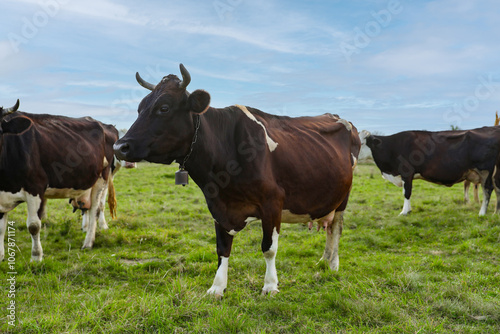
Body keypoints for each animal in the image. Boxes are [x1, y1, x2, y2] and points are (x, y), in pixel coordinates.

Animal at [0, 100, 118, 262]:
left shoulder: (35, 187)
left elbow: (34, 225)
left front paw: (36, 257)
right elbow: (1, 228)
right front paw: (0, 256)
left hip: (102, 177)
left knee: (95, 209)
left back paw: (88, 243)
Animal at [115, 64, 362, 296]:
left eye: (164, 108)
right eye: (139, 108)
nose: (119, 146)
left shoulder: (273, 202)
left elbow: (269, 248)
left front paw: (270, 285)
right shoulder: (218, 206)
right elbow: (222, 248)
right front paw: (217, 287)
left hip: (343, 197)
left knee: (336, 229)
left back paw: (333, 265)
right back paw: (323, 261)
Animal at [358, 128, 500, 217]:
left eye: (361, 143)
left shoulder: (406, 172)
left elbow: (406, 193)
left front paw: (404, 212)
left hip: (485, 170)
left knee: (488, 189)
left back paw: (482, 213)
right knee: (497, 189)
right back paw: (496, 213)